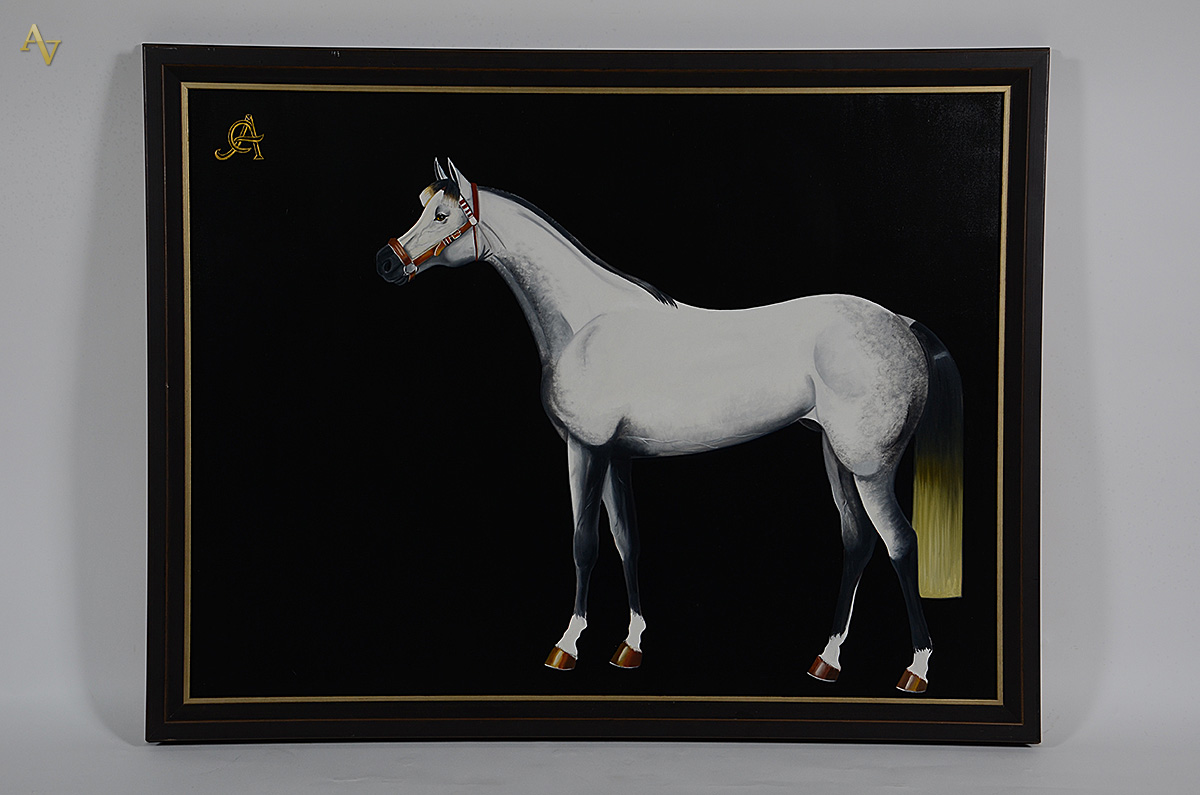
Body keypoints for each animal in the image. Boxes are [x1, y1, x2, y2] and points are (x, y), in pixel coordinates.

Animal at [376, 159, 963, 693]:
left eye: (443, 214)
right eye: (424, 206)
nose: (386, 262)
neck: (587, 324)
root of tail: (900, 323)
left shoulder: (585, 449)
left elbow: (584, 543)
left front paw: (566, 647)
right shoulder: (616, 457)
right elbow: (627, 541)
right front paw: (630, 646)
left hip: (870, 468)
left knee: (900, 543)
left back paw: (915, 670)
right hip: (836, 458)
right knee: (858, 542)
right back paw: (827, 660)